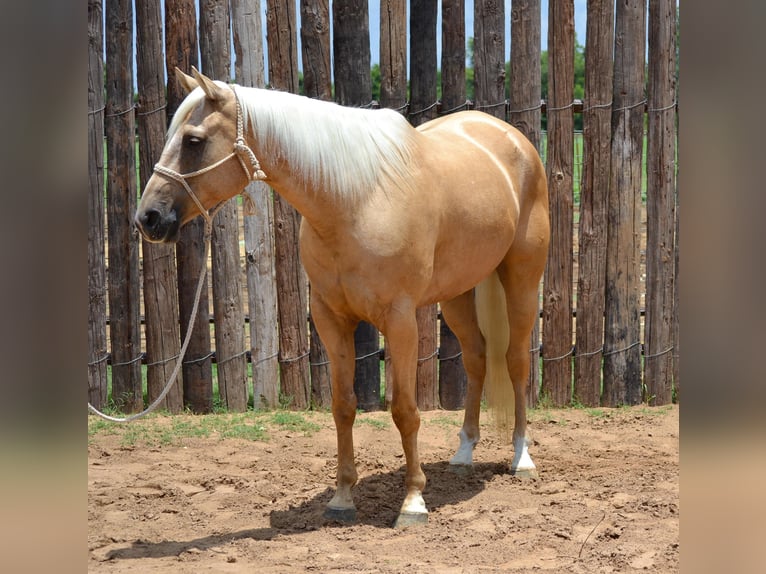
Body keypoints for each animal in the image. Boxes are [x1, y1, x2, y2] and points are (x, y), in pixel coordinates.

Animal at [136, 68, 552, 532]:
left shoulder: (401, 321)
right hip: (460, 293)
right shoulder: (331, 320)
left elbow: (404, 410)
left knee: (515, 361)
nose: (148, 218)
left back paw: (521, 457)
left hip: (521, 280)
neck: (356, 199)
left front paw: (413, 502)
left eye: (193, 140)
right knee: (477, 360)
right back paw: (463, 454)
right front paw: (342, 498)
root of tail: (511, 139)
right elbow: (342, 407)